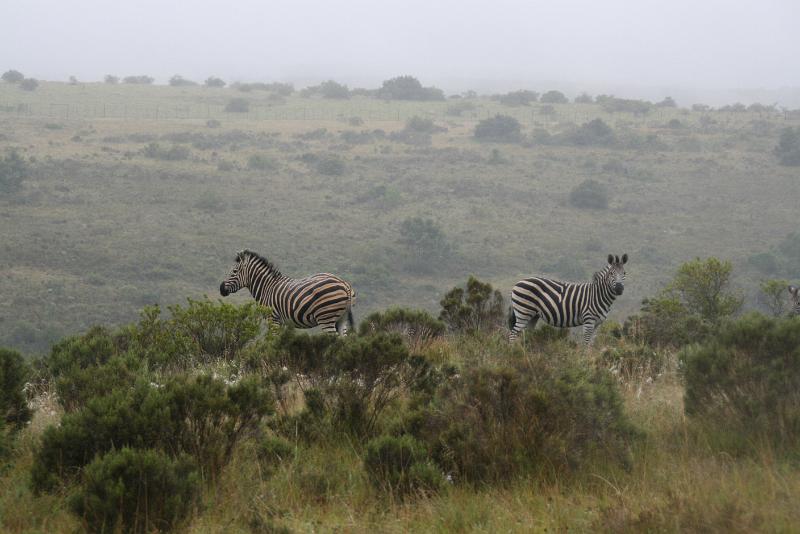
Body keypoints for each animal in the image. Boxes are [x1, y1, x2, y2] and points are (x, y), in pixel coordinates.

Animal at [219, 251, 356, 336]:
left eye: (234, 271)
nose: (221, 289)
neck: (266, 288)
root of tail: (344, 283)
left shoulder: (273, 319)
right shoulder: (281, 322)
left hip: (326, 317)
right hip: (341, 318)